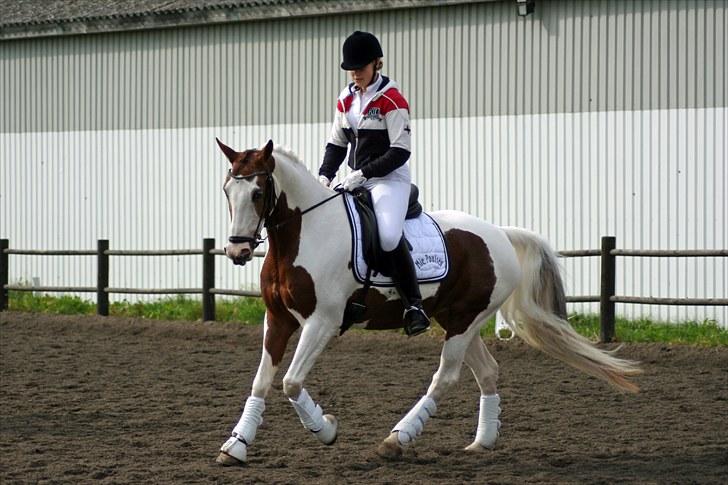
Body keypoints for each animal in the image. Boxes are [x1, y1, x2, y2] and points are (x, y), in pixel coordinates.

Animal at [212, 138, 644, 464]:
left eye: (257, 192)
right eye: (227, 190)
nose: (237, 251)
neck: (305, 234)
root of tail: (500, 233)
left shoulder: (323, 322)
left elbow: (290, 382)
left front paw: (327, 429)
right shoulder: (277, 319)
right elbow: (262, 381)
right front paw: (237, 445)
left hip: (464, 323)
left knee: (446, 377)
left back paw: (397, 439)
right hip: (458, 320)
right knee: (487, 371)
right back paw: (482, 442)